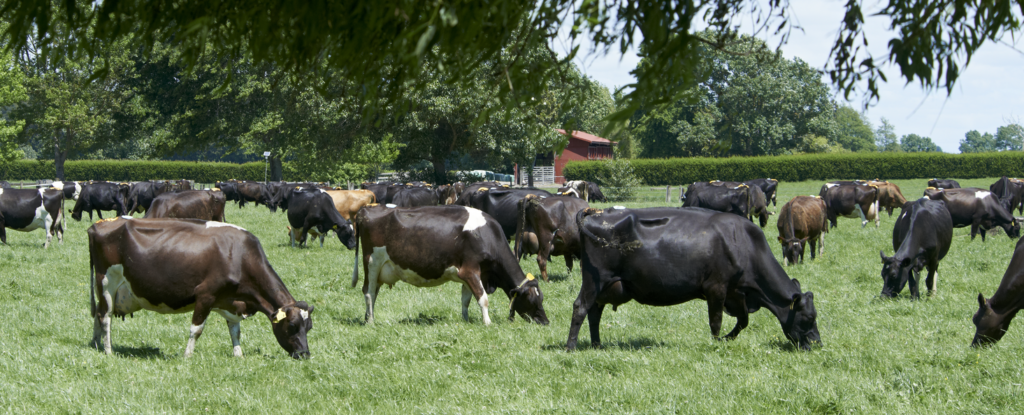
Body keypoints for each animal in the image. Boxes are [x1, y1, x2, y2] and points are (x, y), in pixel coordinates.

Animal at [86, 218, 313, 356]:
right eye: (292, 326)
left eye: (309, 327)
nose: (305, 354)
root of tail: (99, 224)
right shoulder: (206, 295)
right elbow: (196, 329)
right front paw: (187, 356)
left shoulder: (231, 301)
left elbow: (235, 331)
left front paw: (238, 355)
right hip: (107, 282)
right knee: (105, 317)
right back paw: (108, 351)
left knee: (98, 313)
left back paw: (96, 344)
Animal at [350, 204, 548, 325]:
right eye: (531, 299)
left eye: (542, 298)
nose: (545, 321)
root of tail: (366, 210)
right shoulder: (470, 271)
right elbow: (483, 298)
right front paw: (487, 323)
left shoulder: (469, 275)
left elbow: (466, 300)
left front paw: (466, 320)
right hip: (372, 262)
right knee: (368, 292)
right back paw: (371, 321)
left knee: (374, 292)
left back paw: (368, 317)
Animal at [569, 205, 823, 348]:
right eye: (808, 318)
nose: (818, 344)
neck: (745, 244)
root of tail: (597, 213)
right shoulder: (716, 288)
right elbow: (716, 321)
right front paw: (715, 344)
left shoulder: (736, 292)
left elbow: (743, 321)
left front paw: (727, 339)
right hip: (595, 280)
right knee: (581, 307)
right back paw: (571, 347)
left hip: (605, 286)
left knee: (594, 313)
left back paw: (597, 345)